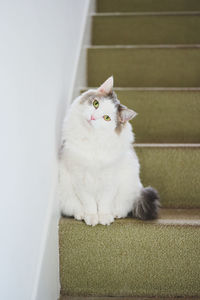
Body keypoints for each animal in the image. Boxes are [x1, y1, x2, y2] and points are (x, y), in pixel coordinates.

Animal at [57, 76, 159, 226]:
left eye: (106, 118)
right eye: (95, 104)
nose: (93, 117)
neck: (92, 139)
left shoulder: (110, 179)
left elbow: (105, 203)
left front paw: (104, 217)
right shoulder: (80, 178)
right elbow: (89, 203)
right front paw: (92, 217)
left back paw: (116, 214)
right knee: (75, 208)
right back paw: (81, 215)